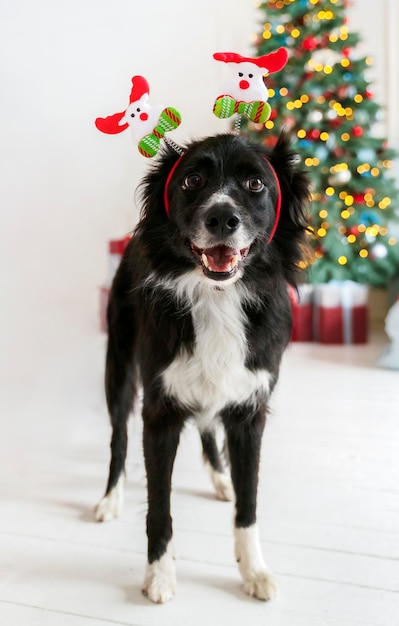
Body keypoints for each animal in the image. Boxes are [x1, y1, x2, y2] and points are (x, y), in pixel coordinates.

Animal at [94, 130, 312, 600]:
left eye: (255, 184)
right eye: (192, 180)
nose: (222, 218)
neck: (217, 297)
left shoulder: (249, 409)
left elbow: (249, 503)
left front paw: (253, 570)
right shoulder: (160, 412)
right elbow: (159, 505)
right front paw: (159, 573)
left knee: (210, 427)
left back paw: (221, 478)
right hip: (119, 367)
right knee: (119, 437)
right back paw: (110, 498)